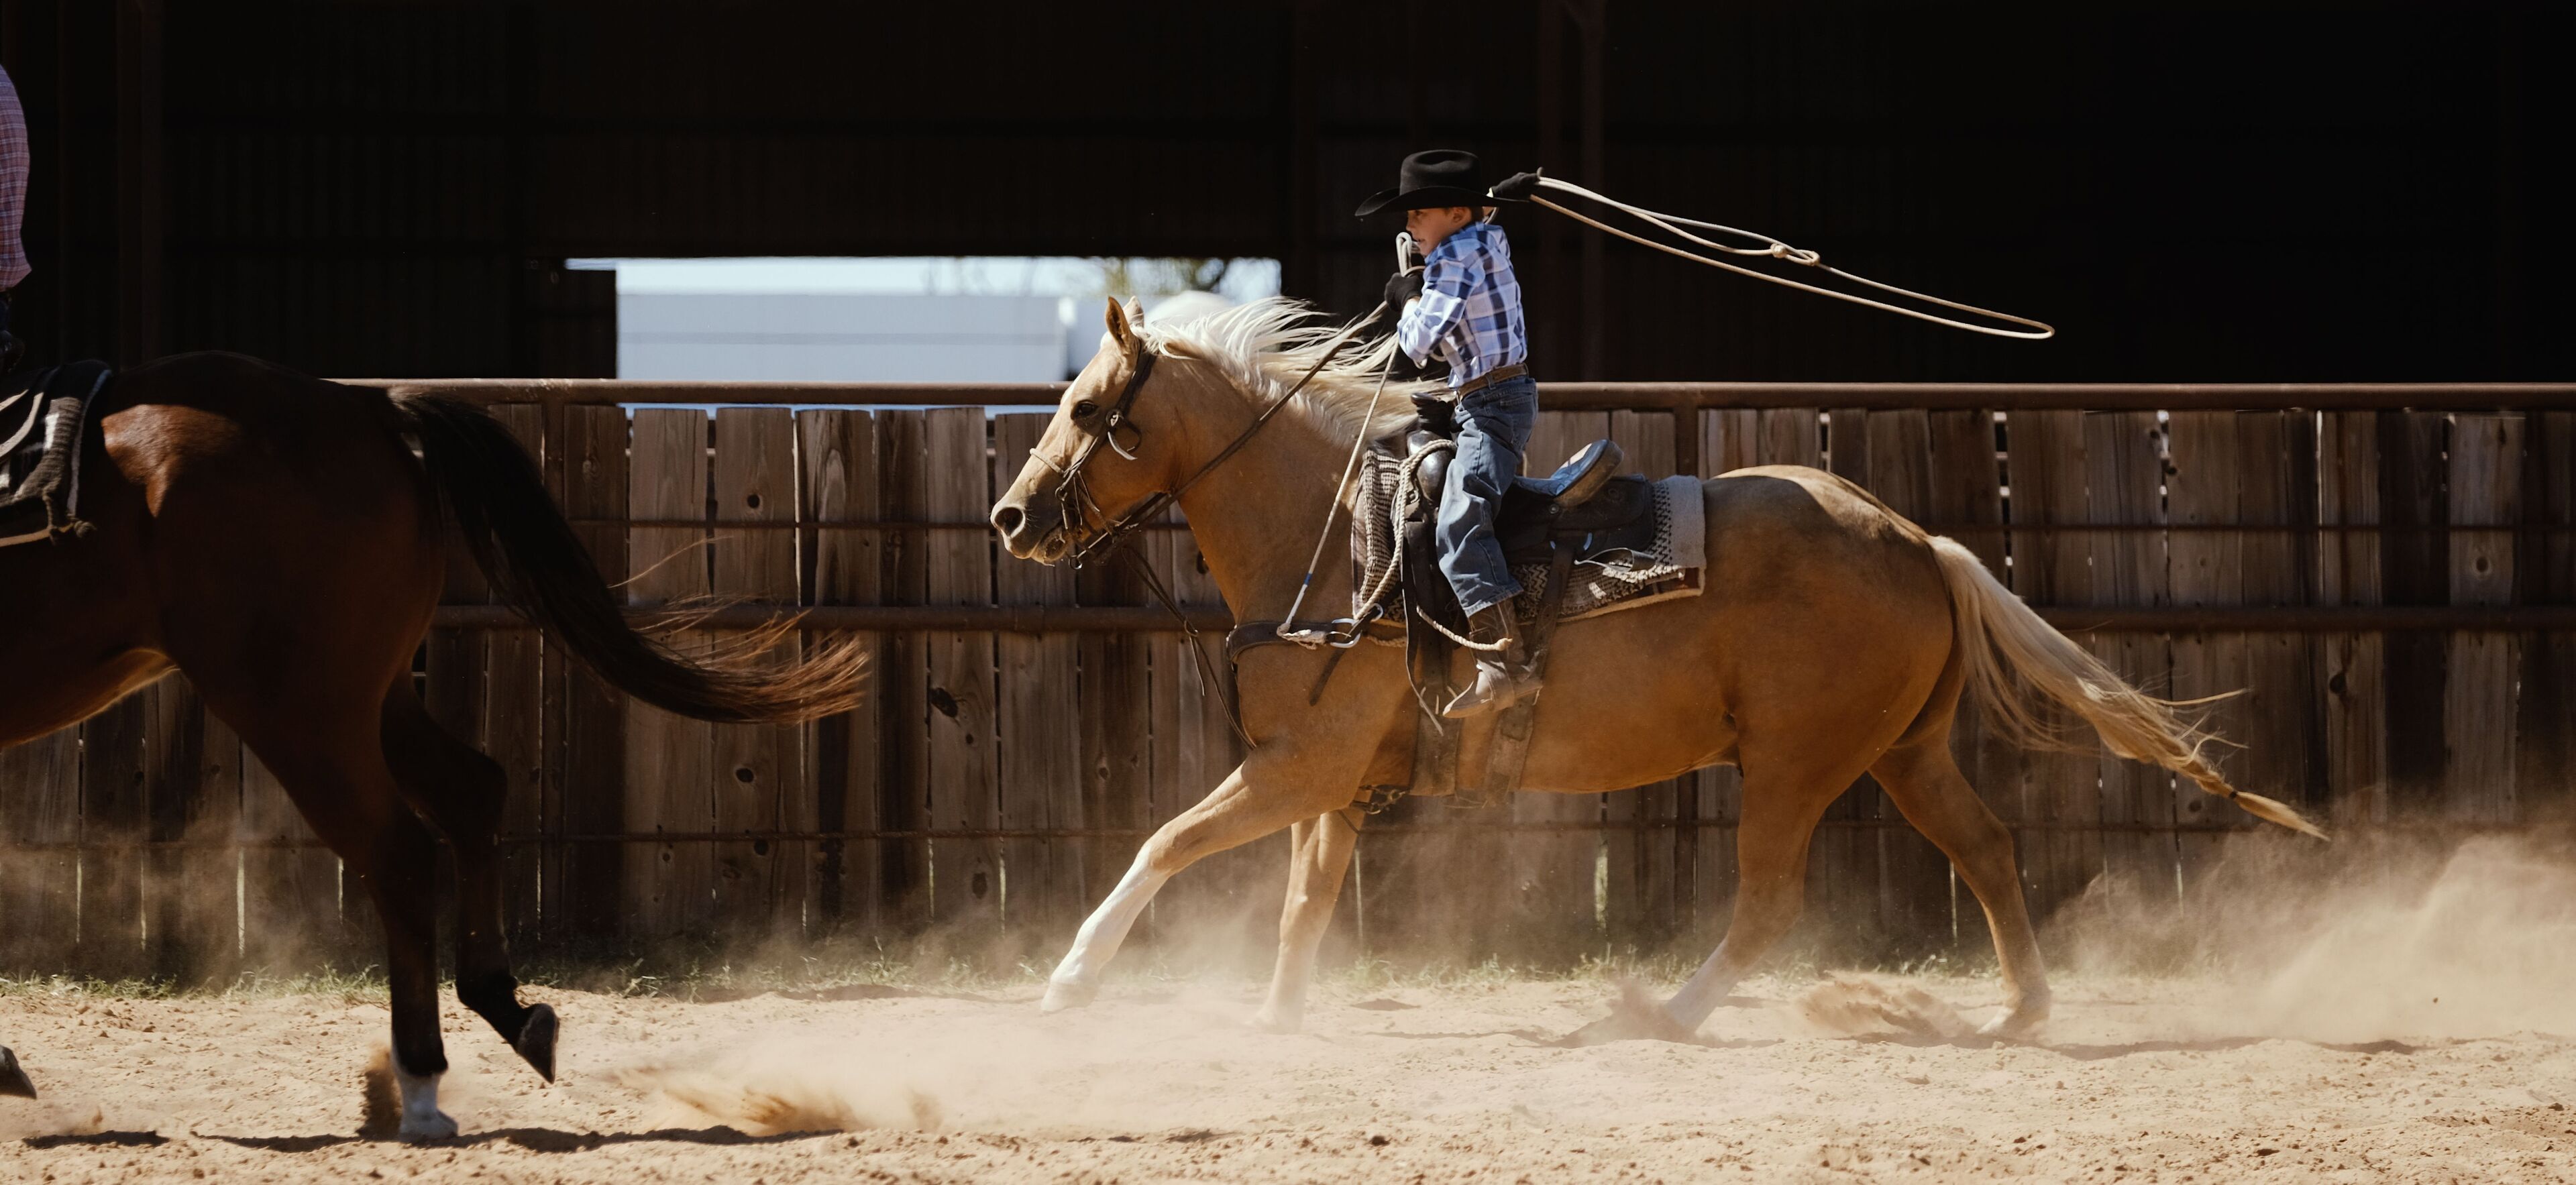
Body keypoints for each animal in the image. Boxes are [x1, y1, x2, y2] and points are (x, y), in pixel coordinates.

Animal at [0, 352, 867, 1137]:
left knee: (400, 852)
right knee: (471, 791)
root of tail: (368, 410)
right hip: (369, 697)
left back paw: (420, 1084)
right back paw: (507, 1009)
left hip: (301, 710)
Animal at [989, 297, 2323, 1041]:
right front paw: (1273, 1016)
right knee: (1989, 848)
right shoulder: (1333, 780)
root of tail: (1917, 542)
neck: (1340, 536)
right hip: (1903, 751)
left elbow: (1164, 842)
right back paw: (2018, 1009)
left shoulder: (1296, 767)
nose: (1010, 516)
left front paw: (1071, 978)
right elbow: (1302, 902)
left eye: (1090, 407)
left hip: (1795, 762)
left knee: (1772, 898)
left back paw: (1661, 1012)